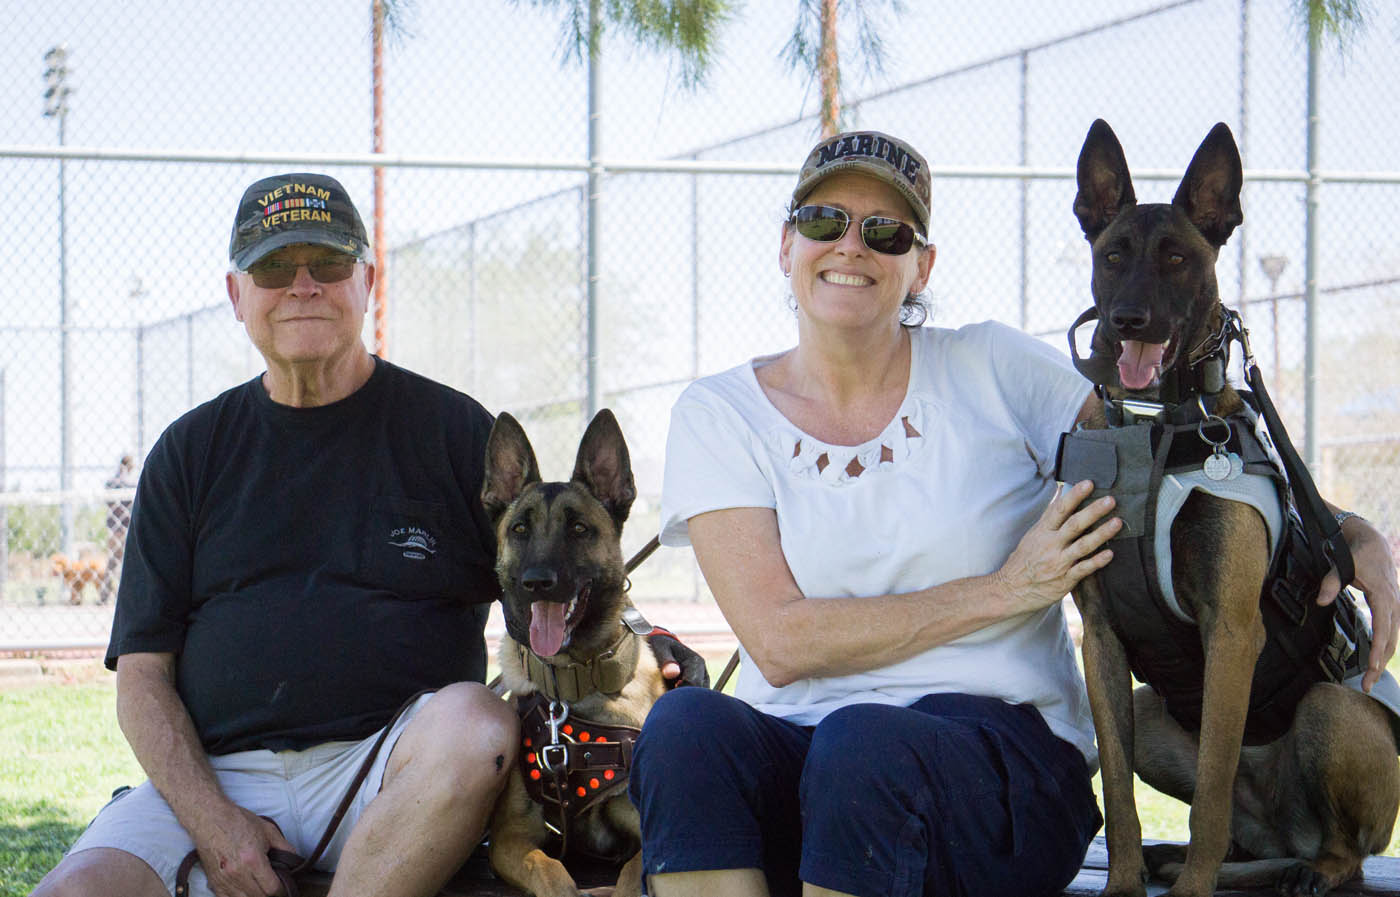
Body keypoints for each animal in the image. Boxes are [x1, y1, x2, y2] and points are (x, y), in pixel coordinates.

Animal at [478, 408, 663, 895]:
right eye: (519, 529)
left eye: (579, 528)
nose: (537, 583)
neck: (571, 687)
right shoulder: (512, 839)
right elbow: (549, 869)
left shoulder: (651, 834)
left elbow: (631, 874)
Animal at [1069, 120, 1400, 895]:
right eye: (1113, 256)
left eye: (1179, 258)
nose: (1130, 318)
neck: (1153, 424)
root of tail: (1283, 828)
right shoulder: (1099, 638)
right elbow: (1120, 794)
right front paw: (1124, 879)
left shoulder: (1230, 631)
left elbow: (1213, 788)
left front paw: (1189, 888)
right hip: (1154, 708)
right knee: (1242, 842)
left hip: (1330, 709)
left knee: (1338, 851)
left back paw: (1306, 871)